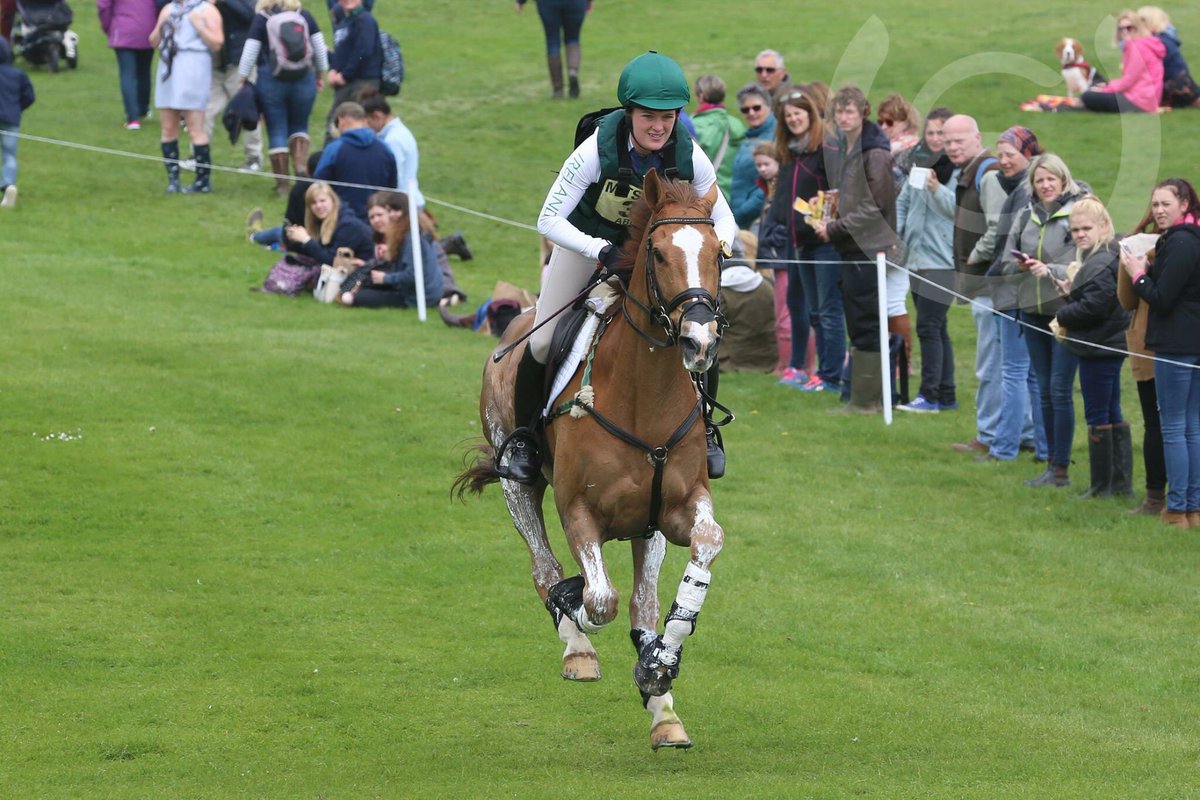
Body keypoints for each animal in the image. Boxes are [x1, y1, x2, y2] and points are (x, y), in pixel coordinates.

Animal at [454, 169, 727, 750]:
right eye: (658, 253)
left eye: (719, 252)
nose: (699, 340)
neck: (643, 396)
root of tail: (518, 320)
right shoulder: (578, 510)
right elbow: (597, 597)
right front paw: (574, 603)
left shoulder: (676, 509)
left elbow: (701, 550)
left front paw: (660, 664)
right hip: (517, 482)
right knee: (544, 567)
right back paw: (576, 647)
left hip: (647, 528)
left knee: (643, 606)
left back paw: (663, 711)